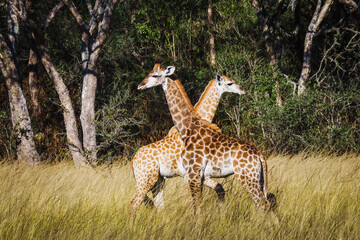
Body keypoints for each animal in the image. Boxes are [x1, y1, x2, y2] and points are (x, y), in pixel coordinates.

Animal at [137, 62, 276, 215]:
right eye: (230, 82)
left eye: (155, 75)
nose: (140, 85)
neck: (188, 129)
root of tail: (259, 154)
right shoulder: (194, 176)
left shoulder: (193, 174)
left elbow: (198, 207)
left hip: (248, 177)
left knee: (264, 204)